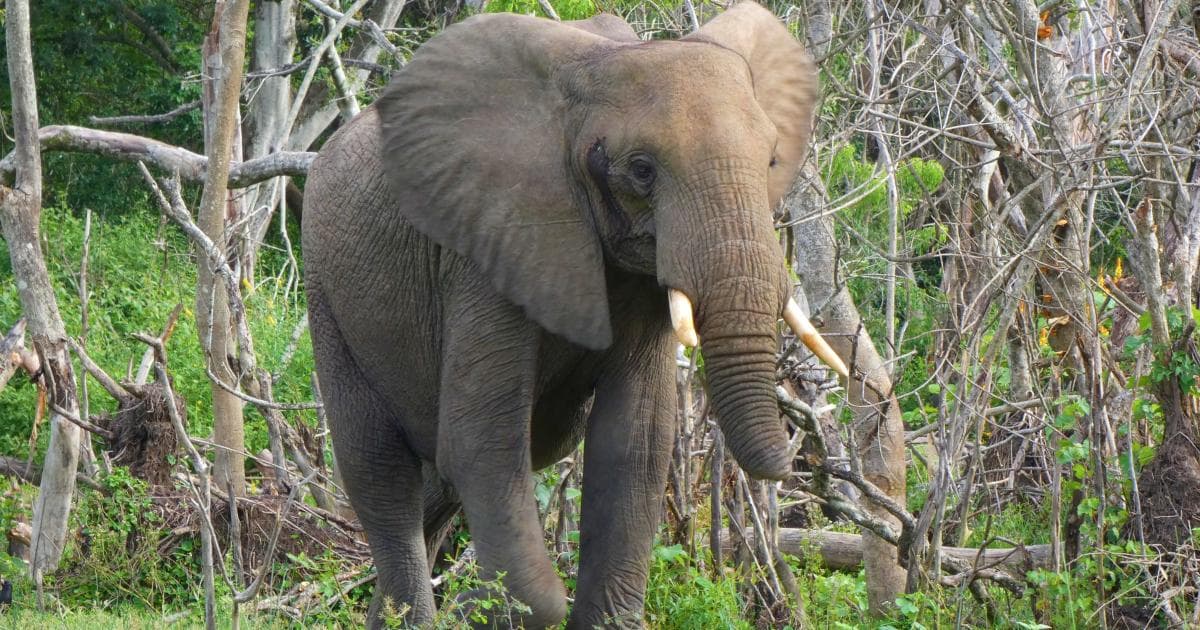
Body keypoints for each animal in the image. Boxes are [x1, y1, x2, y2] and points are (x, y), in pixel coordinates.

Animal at [300, 2, 844, 624]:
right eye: (641, 170)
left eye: (772, 159)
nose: (802, 456)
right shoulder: (486, 246)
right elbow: (483, 444)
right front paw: (496, 605)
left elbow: (634, 444)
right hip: (327, 290)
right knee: (380, 472)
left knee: (441, 481)